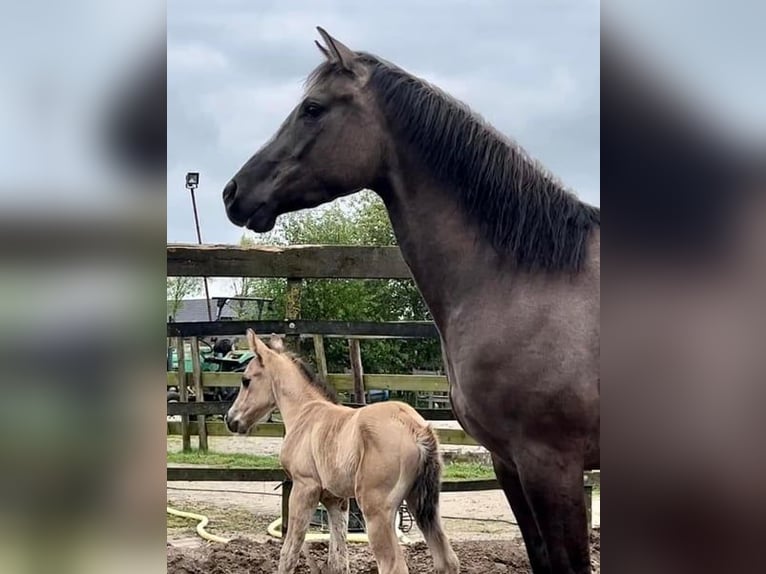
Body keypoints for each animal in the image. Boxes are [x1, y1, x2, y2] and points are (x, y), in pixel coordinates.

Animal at [225, 330, 460, 574]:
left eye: (246, 380)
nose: (230, 420)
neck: (304, 413)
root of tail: (416, 429)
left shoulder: (304, 487)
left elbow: (288, 553)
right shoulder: (336, 499)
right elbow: (338, 559)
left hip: (376, 510)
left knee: (393, 565)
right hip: (422, 504)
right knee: (447, 560)